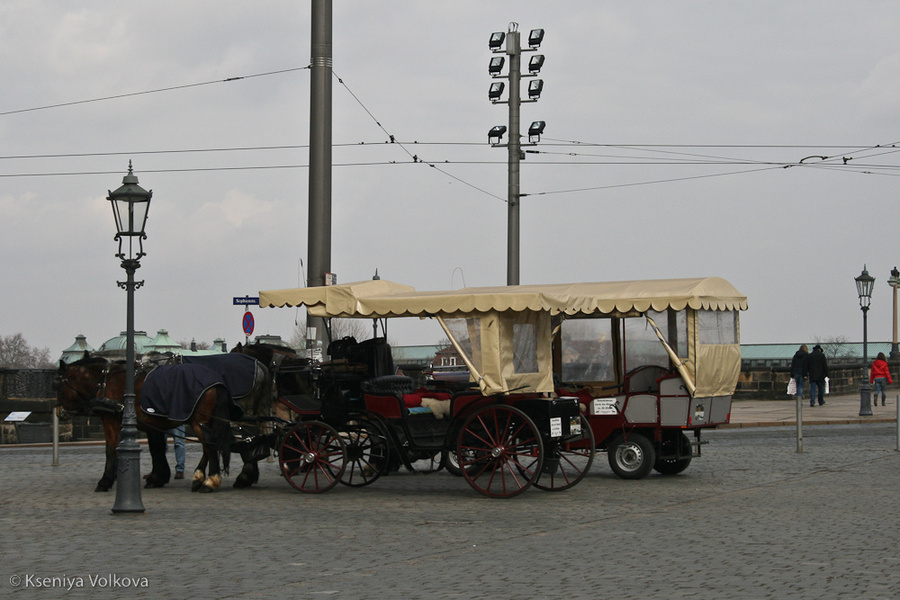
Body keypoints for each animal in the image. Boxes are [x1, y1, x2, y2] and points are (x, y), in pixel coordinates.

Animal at [54, 356, 234, 492]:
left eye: (59, 387)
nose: (59, 412)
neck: (105, 381)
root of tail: (216, 380)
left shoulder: (110, 420)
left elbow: (111, 449)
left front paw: (105, 481)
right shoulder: (147, 424)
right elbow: (155, 448)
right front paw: (156, 478)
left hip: (198, 421)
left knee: (209, 445)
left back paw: (209, 481)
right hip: (202, 421)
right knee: (208, 447)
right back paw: (200, 478)